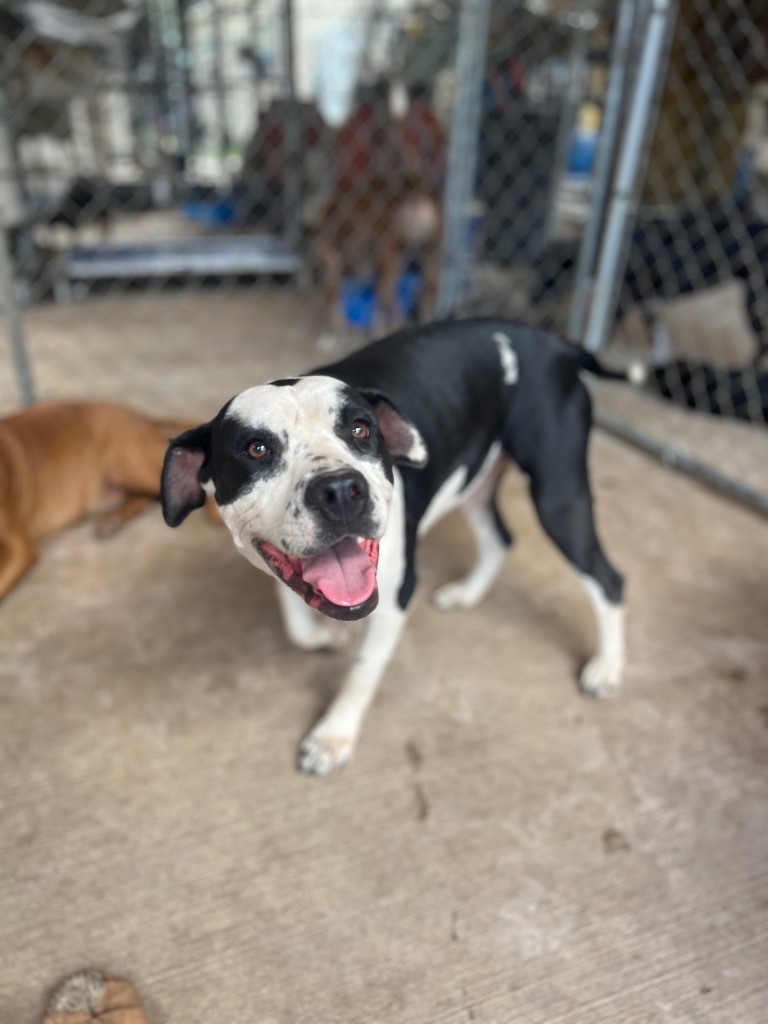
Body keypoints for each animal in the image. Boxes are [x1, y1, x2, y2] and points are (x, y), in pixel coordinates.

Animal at [162, 319, 630, 774]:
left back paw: (606, 668)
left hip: (559, 496)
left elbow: (362, 671)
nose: (340, 490)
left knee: (608, 579)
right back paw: (467, 593)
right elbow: (298, 627)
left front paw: (333, 736)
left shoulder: (394, 597)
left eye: (360, 429)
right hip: (475, 483)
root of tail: (554, 342)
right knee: (500, 539)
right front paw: (326, 637)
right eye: (256, 449)